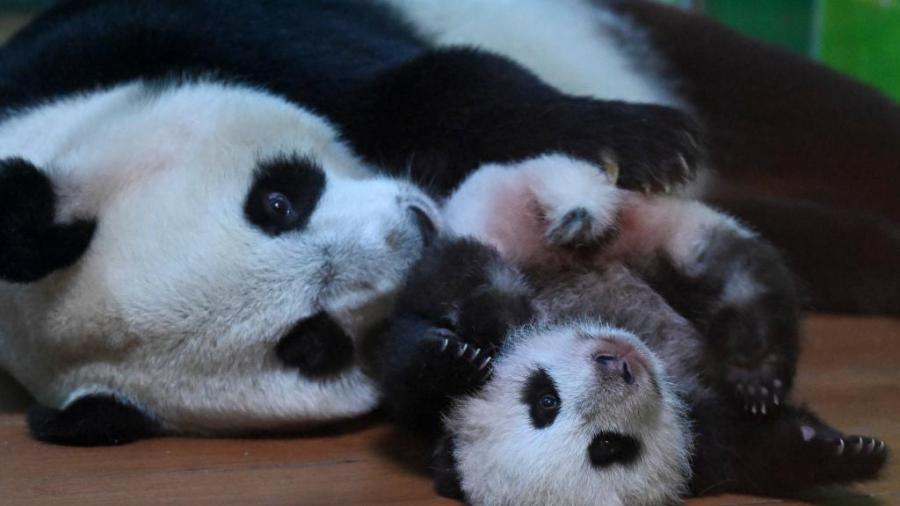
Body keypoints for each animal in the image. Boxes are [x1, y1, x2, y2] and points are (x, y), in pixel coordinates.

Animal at [1, 0, 897, 444]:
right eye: (309, 345)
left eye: (275, 203)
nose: (419, 237)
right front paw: (450, 353)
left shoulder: (174, 35)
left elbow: (435, 79)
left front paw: (631, 141)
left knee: (802, 102)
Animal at [375, 155, 888, 504]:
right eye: (608, 447)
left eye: (544, 399)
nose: (617, 363)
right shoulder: (701, 443)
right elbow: (755, 448)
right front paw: (841, 451)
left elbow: (405, 369)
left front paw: (458, 359)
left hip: (573, 219)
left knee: (736, 270)